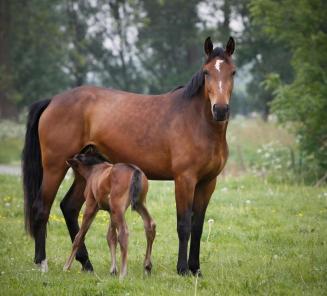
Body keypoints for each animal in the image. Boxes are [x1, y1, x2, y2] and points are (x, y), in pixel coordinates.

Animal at [22, 36, 236, 276]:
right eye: (207, 72)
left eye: (233, 72)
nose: (220, 109)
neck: (196, 122)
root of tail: (52, 100)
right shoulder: (185, 180)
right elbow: (184, 224)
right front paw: (182, 269)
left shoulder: (208, 182)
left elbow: (197, 226)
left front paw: (196, 269)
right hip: (55, 167)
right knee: (41, 209)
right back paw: (42, 262)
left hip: (84, 171)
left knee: (69, 208)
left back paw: (86, 264)